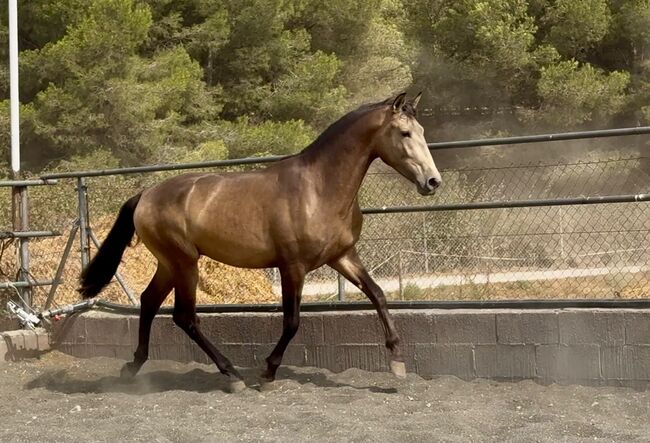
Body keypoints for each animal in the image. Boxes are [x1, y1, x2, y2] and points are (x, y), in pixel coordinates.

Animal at [79, 92, 442, 392]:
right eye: (405, 133)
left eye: (422, 131)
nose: (433, 182)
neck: (318, 188)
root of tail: (146, 195)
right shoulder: (292, 267)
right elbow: (292, 322)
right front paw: (268, 371)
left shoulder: (343, 256)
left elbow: (378, 295)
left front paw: (397, 362)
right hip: (184, 263)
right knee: (185, 317)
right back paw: (232, 375)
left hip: (170, 264)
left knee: (149, 302)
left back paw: (133, 366)